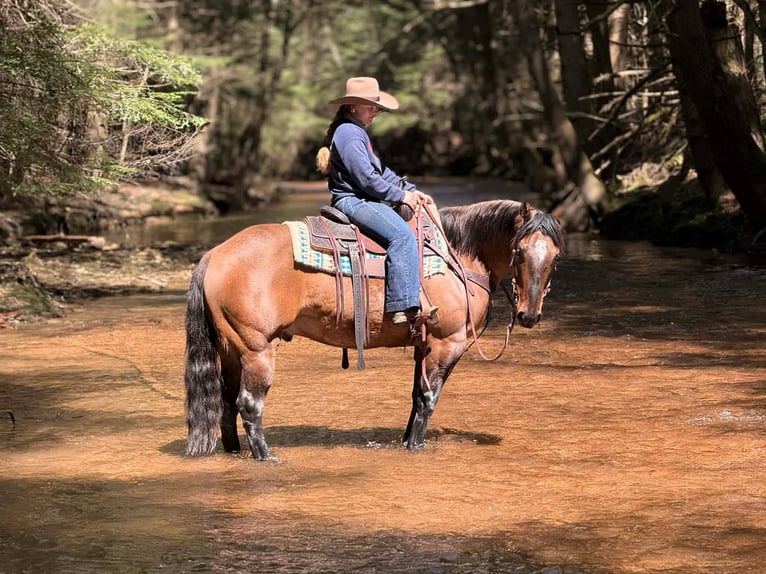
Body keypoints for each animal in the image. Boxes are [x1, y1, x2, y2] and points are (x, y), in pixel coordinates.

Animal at [184, 199, 564, 460]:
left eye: (556, 256)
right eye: (519, 251)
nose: (529, 315)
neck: (457, 256)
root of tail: (215, 255)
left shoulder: (423, 345)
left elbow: (415, 397)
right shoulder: (446, 343)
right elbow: (429, 400)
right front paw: (415, 447)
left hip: (230, 350)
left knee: (227, 404)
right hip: (257, 350)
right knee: (249, 404)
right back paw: (267, 458)